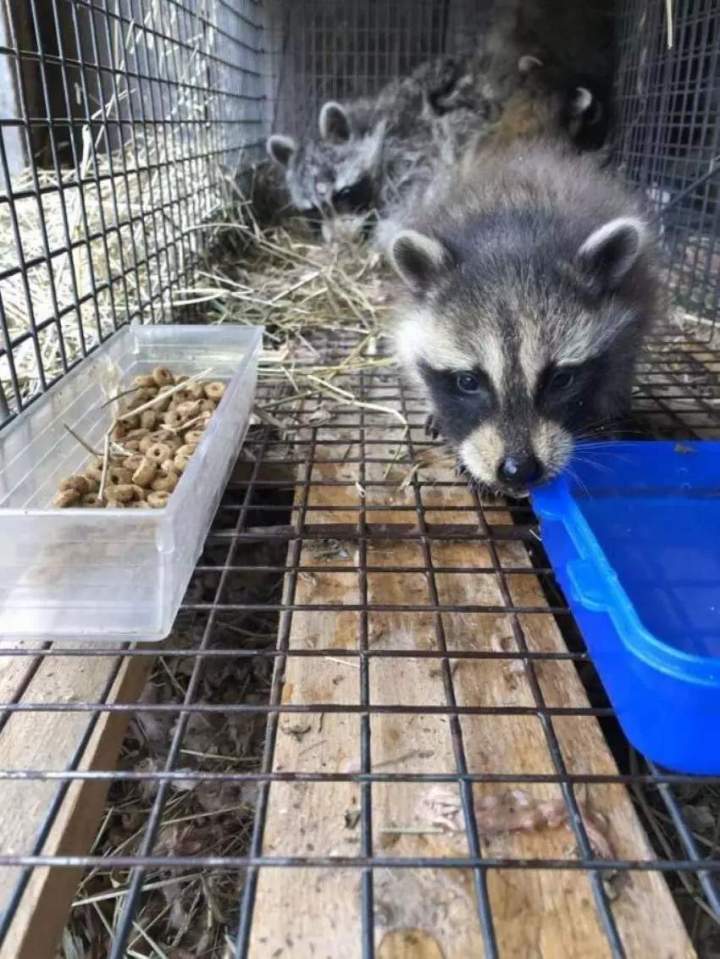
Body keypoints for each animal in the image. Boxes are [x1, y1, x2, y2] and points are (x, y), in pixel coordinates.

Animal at [386, 142, 664, 497]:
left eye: (562, 379)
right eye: (468, 381)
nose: (518, 470)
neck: (513, 241)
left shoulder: (631, 309)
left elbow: (618, 363)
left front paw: (604, 417)